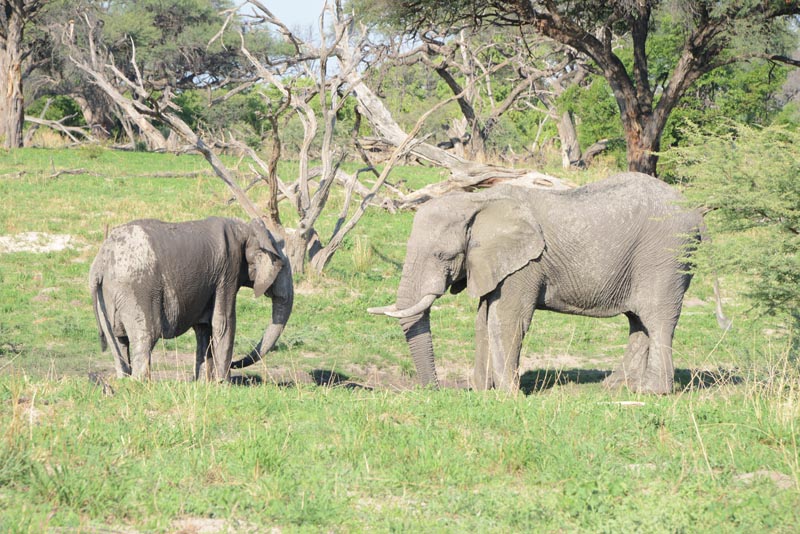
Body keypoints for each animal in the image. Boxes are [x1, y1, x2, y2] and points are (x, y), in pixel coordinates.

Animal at [90, 217, 293, 380]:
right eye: (281, 266)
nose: (236, 363)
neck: (245, 227)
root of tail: (100, 263)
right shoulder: (228, 271)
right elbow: (224, 323)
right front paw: (223, 385)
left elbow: (203, 328)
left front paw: (203, 384)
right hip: (136, 289)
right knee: (146, 335)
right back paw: (141, 384)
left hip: (107, 296)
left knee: (118, 341)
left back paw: (124, 381)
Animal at [369, 172, 708, 395]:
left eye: (444, 255)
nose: (436, 391)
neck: (478, 201)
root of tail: (696, 211)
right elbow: (483, 320)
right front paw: (482, 391)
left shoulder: (526, 265)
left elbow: (506, 320)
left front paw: (509, 397)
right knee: (638, 321)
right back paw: (615, 386)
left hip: (666, 255)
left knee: (657, 317)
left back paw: (651, 392)